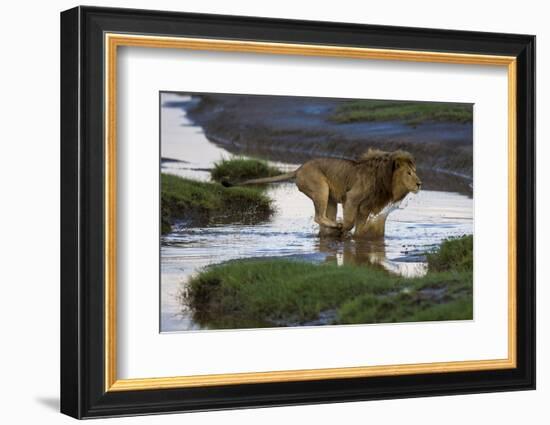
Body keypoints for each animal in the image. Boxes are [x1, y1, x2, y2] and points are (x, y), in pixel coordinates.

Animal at [224, 148, 422, 235]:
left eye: (415, 171)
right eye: (409, 173)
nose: (420, 183)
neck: (385, 180)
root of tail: (299, 169)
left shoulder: (365, 207)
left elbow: (359, 227)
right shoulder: (351, 198)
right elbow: (350, 222)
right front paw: (343, 231)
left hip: (331, 199)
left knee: (324, 217)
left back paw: (330, 230)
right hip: (321, 189)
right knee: (318, 217)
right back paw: (335, 227)